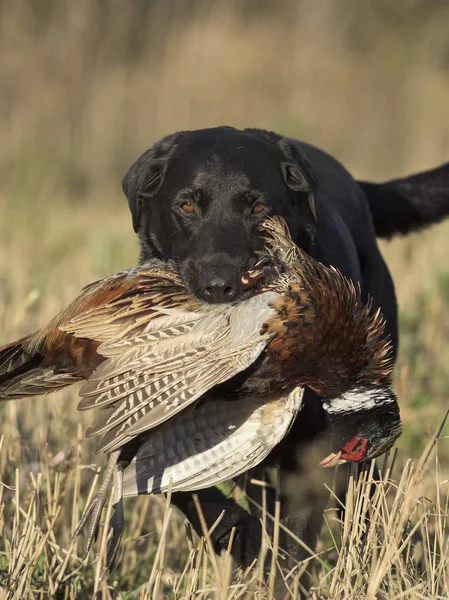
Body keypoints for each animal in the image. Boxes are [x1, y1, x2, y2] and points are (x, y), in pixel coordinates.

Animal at [121, 125, 448, 568]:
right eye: (186, 205)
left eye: (259, 207)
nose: (220, 285)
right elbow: (181, 486)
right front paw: (238, 534)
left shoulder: (314, 446)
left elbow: (294, 541)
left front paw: (275, 565)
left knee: (362, 493)